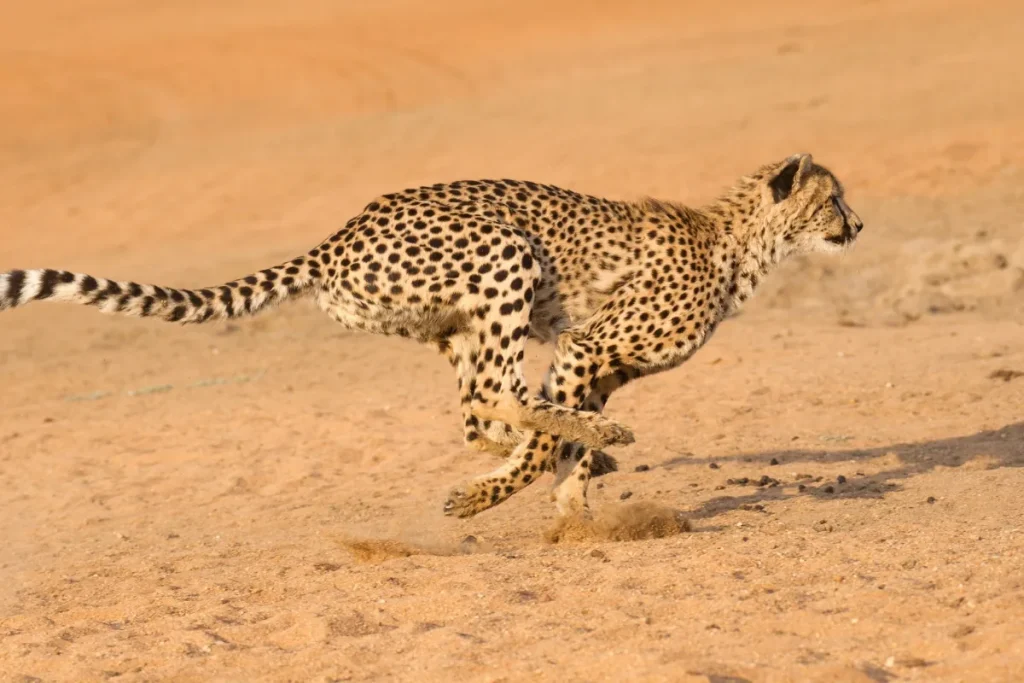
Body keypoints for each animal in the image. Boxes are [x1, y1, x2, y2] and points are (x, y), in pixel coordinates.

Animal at [0, 152, 862, 519]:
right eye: (833, 199)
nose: (858, 225)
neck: (739, 244)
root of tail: (342, 232)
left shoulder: (597, 363)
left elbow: (556, 441)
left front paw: (571, 502)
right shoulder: (585, 347)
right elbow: (549, 438)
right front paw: (498, 497)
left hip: (455, 321)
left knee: (479, 407)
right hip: (507, 256)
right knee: (491, 396)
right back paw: (574, 448)